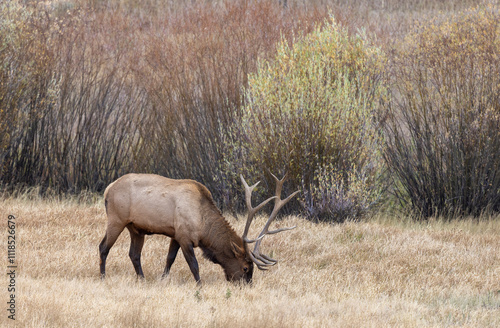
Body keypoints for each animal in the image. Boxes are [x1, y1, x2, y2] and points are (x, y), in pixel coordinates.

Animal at [99, 173, 298, 284]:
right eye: (245, 268)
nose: (247, 285)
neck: (204, 228)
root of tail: (108, 189)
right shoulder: (185, 236)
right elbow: (194, 265)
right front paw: (199, 286)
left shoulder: (175, 234)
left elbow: (169, 259)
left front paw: (162, 279)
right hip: (116, 219)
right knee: (103, 247)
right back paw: (102, 276)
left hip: (136, 228)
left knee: (134, 254)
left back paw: (142, 279)